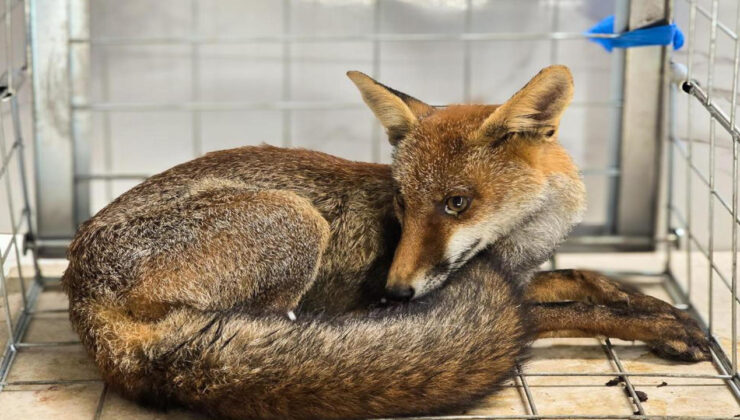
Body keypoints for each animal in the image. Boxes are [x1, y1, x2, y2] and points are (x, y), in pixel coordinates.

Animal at [60, 65, 708, 420]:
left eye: (456, 203)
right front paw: (654, 323)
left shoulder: (511, 275)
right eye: (401, 204)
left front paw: (659, 308)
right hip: (298, 225)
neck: (516, 247)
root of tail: (78, 289)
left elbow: (582, 279)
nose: (396, 295)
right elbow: (564, 310)